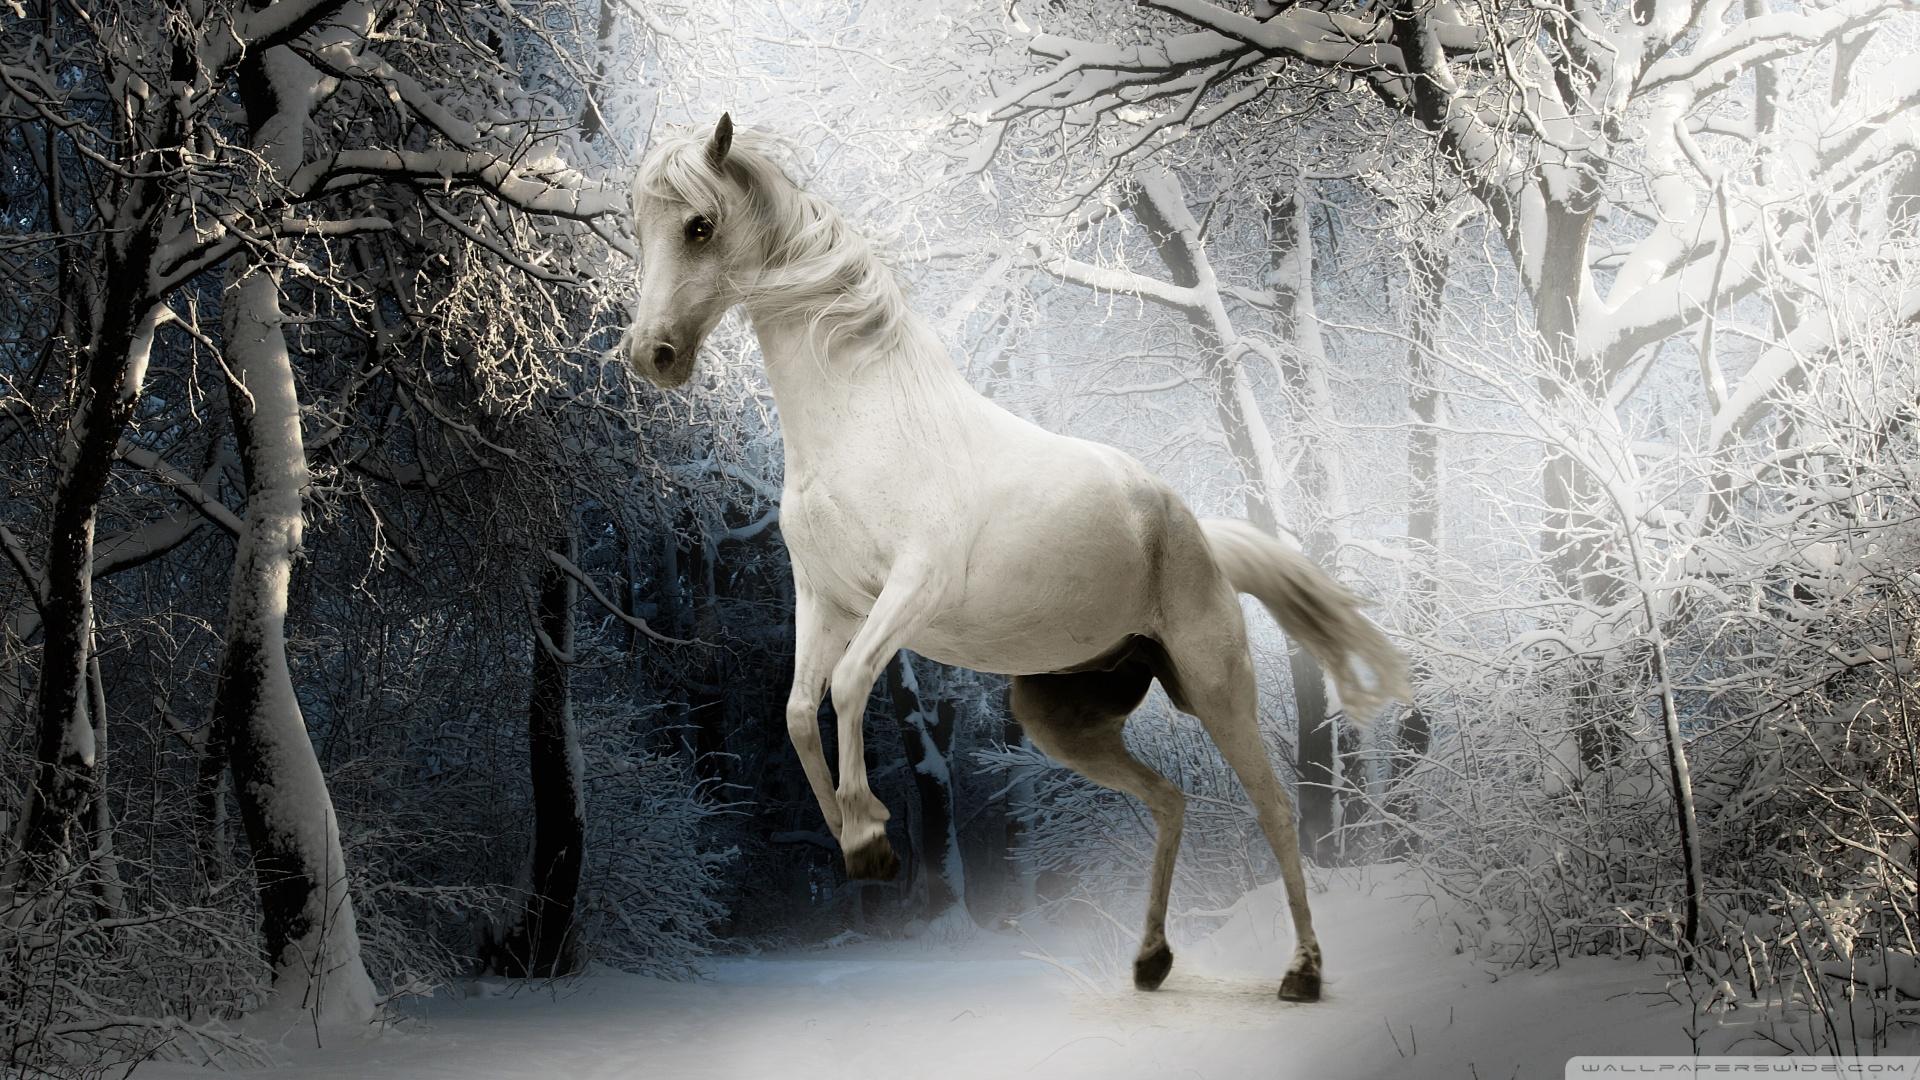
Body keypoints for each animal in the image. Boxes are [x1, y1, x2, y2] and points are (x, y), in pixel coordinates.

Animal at [620, 114, 1410, 1002]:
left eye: (699, 226)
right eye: (638, 228)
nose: (651, 355)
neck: (864, 421)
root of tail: (1196, 531)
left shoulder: (910, 590)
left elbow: (849, 685)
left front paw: (871, 835)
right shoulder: (825, 599)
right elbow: (795, 711)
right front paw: (857, 842)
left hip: (1216, 686)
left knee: (1274, 807)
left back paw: (1302, 972)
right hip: (1061, 719)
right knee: (1169, 800)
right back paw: (1151, 961)